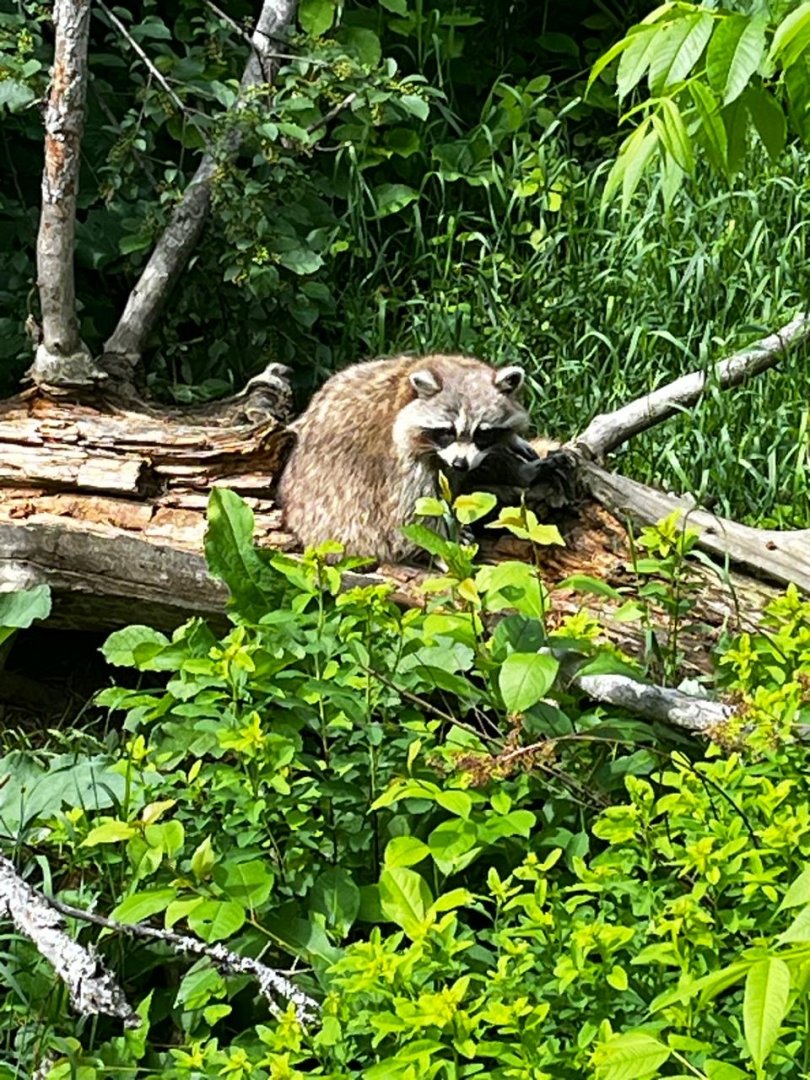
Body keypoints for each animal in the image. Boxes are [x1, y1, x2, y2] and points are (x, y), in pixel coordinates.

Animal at [277, 353, 530, 562]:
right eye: (447, 431)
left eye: (482, 433)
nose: (460, 464)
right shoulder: (398, 458)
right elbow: (411, 514)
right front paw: (442, 548)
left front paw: (514, 440)